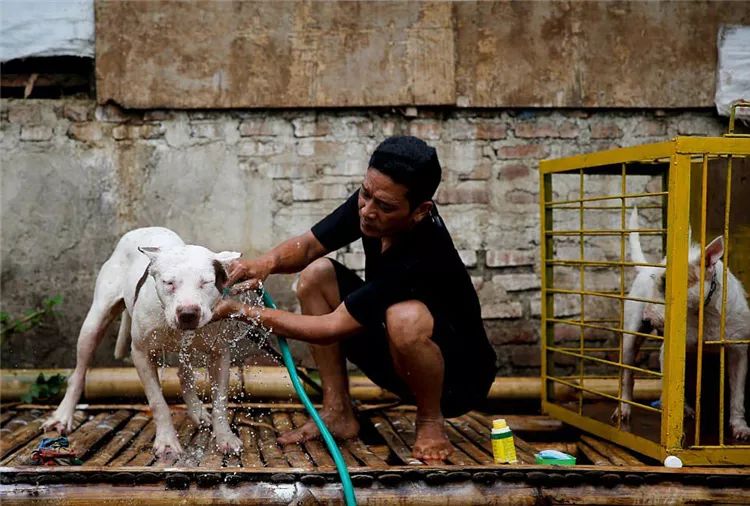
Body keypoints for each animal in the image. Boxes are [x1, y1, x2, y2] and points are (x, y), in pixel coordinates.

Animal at [43, 227, 247, 456]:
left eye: (205, 283)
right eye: (169, 283)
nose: (188, 314)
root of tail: (142, 229)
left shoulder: (219, 352)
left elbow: (220, 400)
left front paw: (225, 438)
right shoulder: (140, 354)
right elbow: (158, 402)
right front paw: (167, 442)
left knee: (184, 373)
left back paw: (196, 410)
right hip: (93, 324)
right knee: (79, 372)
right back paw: (63, 416)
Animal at [612, 208, 748, 440]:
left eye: (667, 284)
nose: (647, 319)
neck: (705, 312)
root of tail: (643, 269)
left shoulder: (738, 349)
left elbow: (737, 393)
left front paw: (739, 426)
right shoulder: (670, 350)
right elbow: (673, 385)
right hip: (631, 337)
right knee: (627, 374)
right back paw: (625, 409)